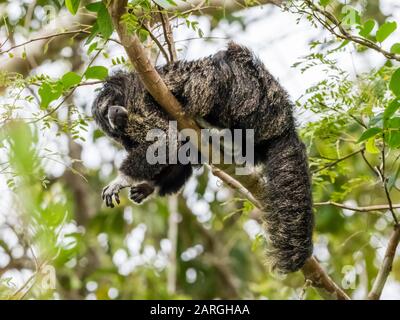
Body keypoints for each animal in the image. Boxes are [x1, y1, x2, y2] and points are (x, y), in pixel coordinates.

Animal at [92, 42, 314, 272]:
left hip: (252, 97)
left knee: (216, 68)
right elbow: (176, 148)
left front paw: (121, 180)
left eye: (108, 107)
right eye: (106, 118)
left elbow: (165, 139)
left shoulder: (141, 101)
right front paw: (148, 186)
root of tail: (285, 125)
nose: (112, 114)